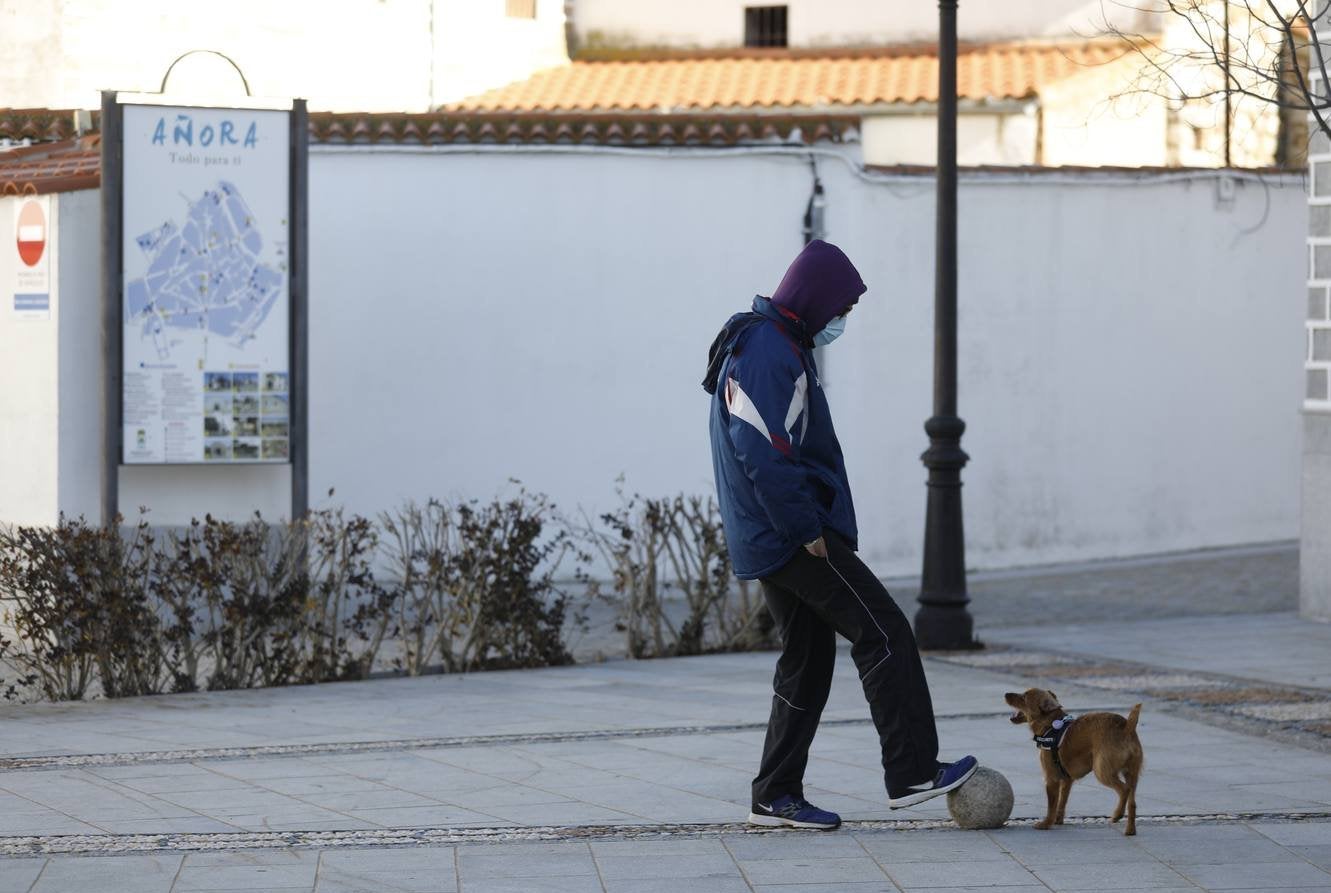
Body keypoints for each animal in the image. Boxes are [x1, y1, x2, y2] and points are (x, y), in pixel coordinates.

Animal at [1006, 697, 1144, 835]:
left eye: (1023, 698)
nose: (1007, 695)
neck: (1049, 726)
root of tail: (1126, 727)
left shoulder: (1051, 779)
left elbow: (1052, 805)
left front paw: (1046, 823)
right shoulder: (1067, 779)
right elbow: (1062, 801)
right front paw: (1058, 820)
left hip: (1102, 772)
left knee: (1124, 789)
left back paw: (1117, 815)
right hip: (1132, 774)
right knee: (1132, 802)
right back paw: (1130, 830)